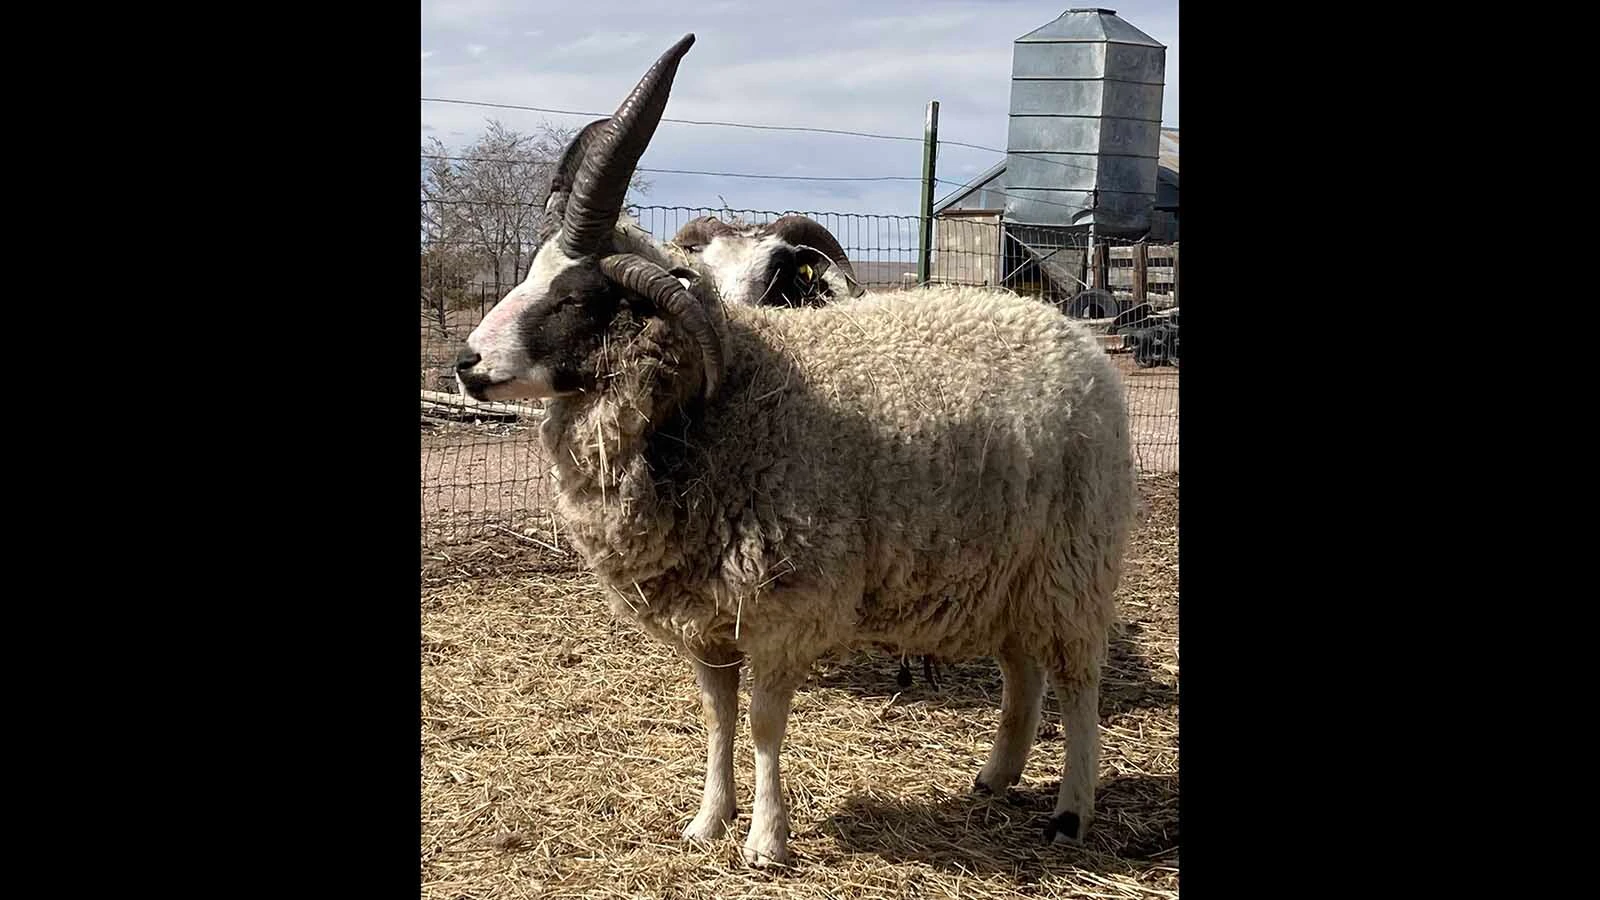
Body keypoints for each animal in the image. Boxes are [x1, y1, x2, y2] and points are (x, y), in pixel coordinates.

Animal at [455, 34, 1137, 867]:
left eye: (581, 297)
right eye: (528, 273)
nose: (466, 362)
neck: (727, 405)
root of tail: (1068, 333)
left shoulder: (783, 608)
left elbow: (764, 725)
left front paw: (765, 840)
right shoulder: (707, 618)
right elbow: (718, 720)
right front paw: (707, 822)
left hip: (1076, 562)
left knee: (1077, 682)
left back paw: (1071, 811)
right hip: (1008, 566)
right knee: (1023, 669)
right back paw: (996, 775)